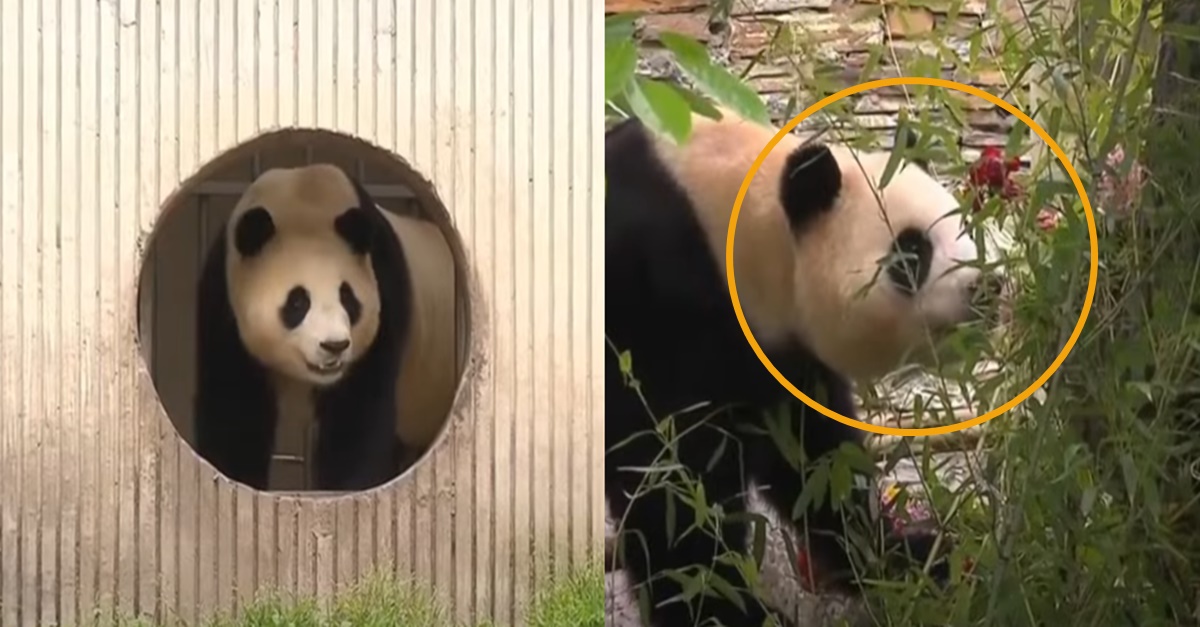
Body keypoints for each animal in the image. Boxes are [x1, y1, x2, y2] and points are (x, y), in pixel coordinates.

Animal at [196, 162, 417, 492]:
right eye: (298, 302)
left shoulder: (385, 287)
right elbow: (234, 409)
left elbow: (358, 411)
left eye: (347, 298)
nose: (334, 345)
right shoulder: (224, 306)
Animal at [609, 109, 993, 619]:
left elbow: (817, 461)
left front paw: (908, 560)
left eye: (965, 225)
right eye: (911, 253)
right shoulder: (657, 310)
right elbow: (668, 481)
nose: (987, 286)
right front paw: (723, 609)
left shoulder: (776, 355)